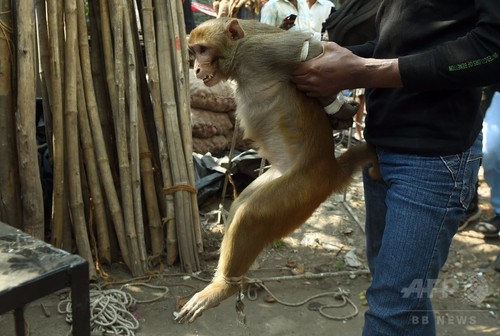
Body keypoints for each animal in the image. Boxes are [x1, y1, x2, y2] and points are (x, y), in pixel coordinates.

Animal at [178, 17, 376, 322]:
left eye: (203, 50)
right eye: (194, 51)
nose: (197, 68)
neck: (239, 58)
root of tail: (331, 168)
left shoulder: (262, 52)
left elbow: (314, 50)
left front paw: (337, 107)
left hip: (303, 189)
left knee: (250, 216)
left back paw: (224, 287)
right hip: (283, 179)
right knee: (241, 206)